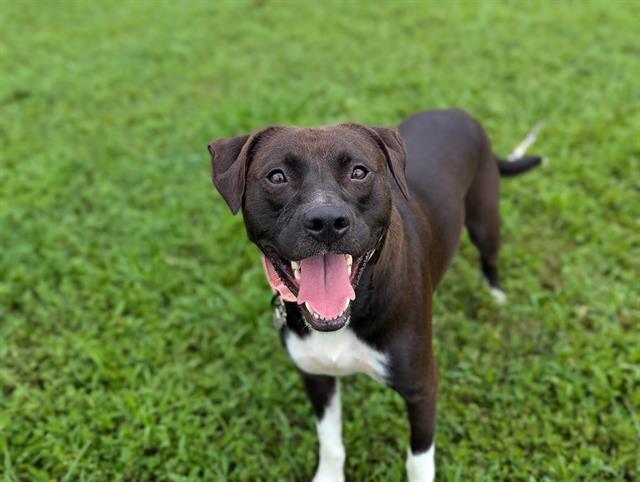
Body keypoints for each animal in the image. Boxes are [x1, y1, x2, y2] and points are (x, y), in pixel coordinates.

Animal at [209, 110, 540, 482]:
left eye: (359, 171)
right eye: (277, 176)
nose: (326, 221)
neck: (352, 309)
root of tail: (456, 111)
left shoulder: (422, 386)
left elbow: (418, 462)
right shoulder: (316, 376)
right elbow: (331, 443)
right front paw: (328, 476)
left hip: (485, 218)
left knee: (490, 256)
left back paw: (496, 294)